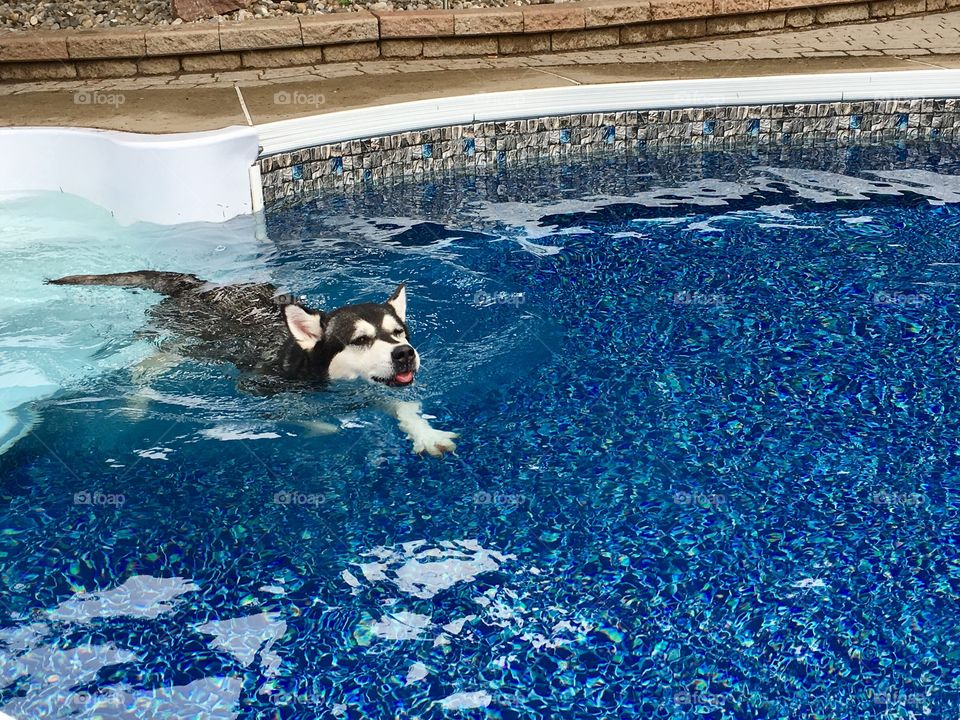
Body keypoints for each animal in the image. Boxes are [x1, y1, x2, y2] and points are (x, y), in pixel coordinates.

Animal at [47, 270, 460, 456]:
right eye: (360, 341)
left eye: (399, 333)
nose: (405, 353)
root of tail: (194, 283)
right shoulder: (255, 387)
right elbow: (299, 414)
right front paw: (323, 426)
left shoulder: (377, 389)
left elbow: (404, 405)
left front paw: (425, 433)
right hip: (180, 345)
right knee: (143, 367)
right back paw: (137, 400)